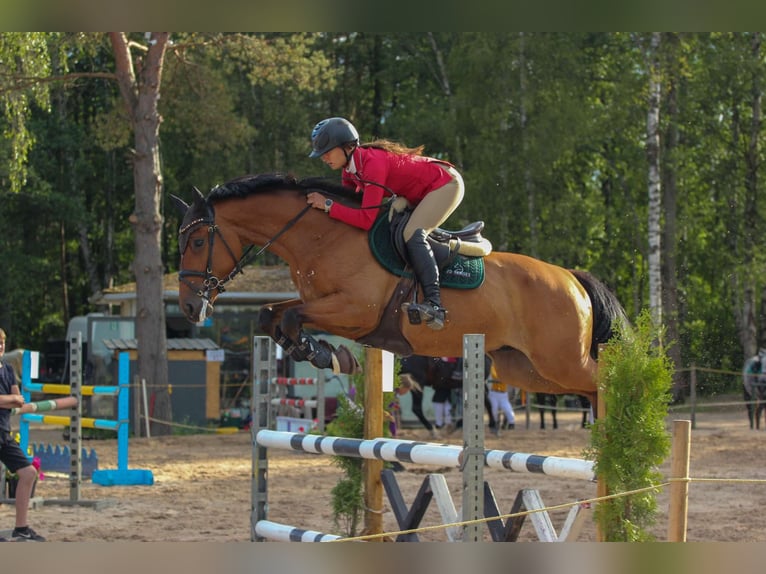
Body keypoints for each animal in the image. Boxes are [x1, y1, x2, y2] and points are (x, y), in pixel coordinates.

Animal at [172, 172, 632, 414]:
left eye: (197, 241)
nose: (191, 307)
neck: (323, 236)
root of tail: (571, 278)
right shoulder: (319, 302)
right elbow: (271, 314)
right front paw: (323, 354)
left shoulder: (355, 311)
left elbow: (289, 316)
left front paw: (327, 355)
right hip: (526, 369)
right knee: (589, 389)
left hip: (560, 360)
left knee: (606, 380)